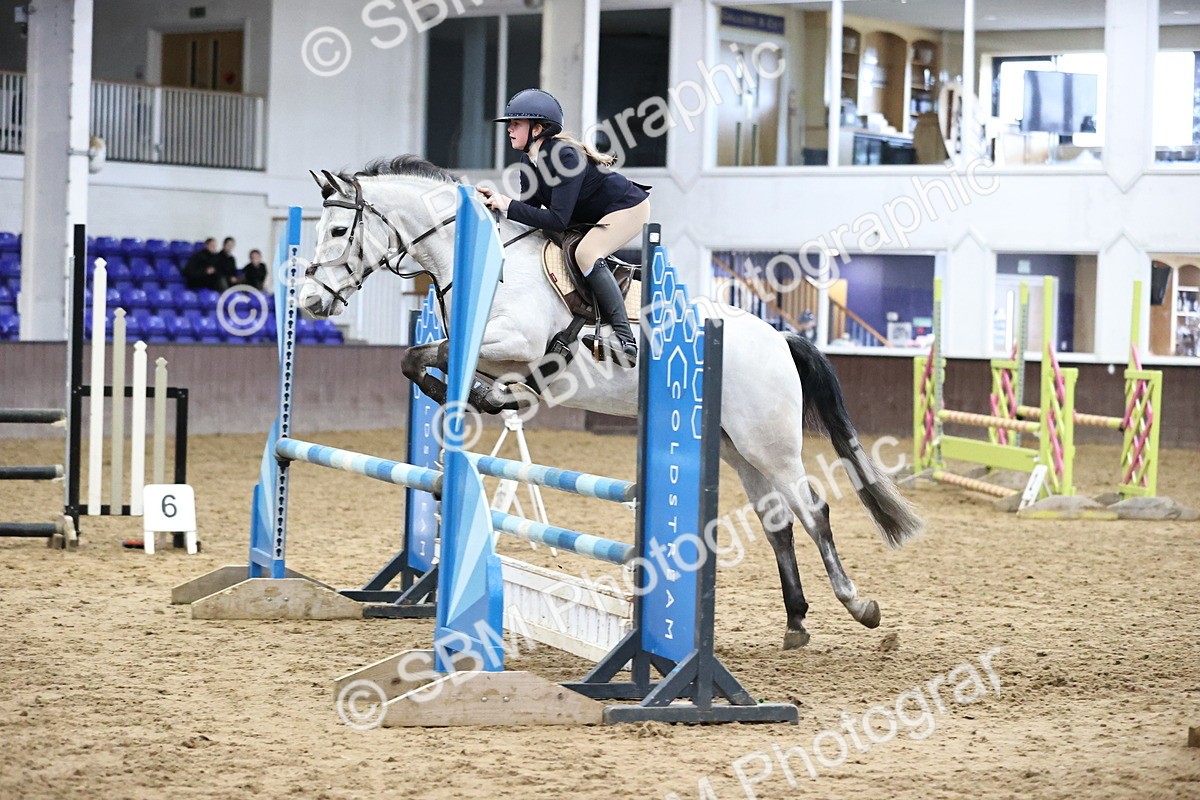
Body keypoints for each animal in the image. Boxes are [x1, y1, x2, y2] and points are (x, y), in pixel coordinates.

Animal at [300, 155, 922, 649]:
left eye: (338, 229)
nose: (308, 300)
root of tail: (777, 337)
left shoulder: (516, 344)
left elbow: (425, 357)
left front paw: (491, 398)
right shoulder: (487, 351)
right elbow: (419, 359)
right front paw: (492, 398)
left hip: (771, 445)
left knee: (813, 511)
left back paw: (859, 606)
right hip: (738, 448)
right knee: (778, 522)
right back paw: (795, 621)